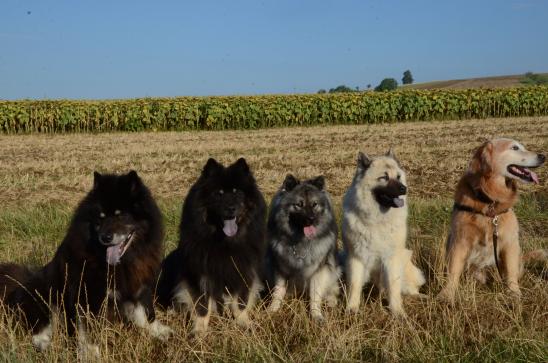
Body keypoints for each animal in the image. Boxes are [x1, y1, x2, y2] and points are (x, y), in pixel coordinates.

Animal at [264, 175, 338, 322]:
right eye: (299, 204)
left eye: (314, 204)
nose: (311, 219)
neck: (300, 241)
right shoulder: (280, 269)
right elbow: (278, 291)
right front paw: (273, 309)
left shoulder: (319, 271)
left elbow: (315, 296)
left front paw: (316, 315)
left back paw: (331, 301)